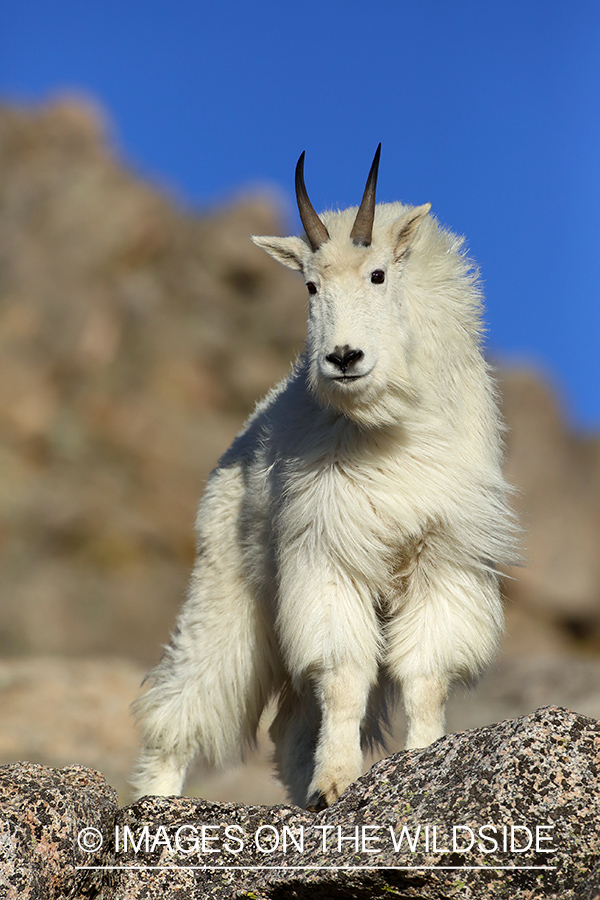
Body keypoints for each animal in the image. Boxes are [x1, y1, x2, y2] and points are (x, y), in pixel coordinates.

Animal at [131, 146, 516, 808]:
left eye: (379, 275)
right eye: (311, 285)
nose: (343, 358)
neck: (389, 431)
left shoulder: (443, 555)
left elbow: (425, 675)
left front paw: (423, 760)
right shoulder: (330, 554)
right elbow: (344, 674)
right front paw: (336, 783)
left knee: (287, 729)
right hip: (228, 588)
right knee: (185, 702)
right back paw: (157, 799)